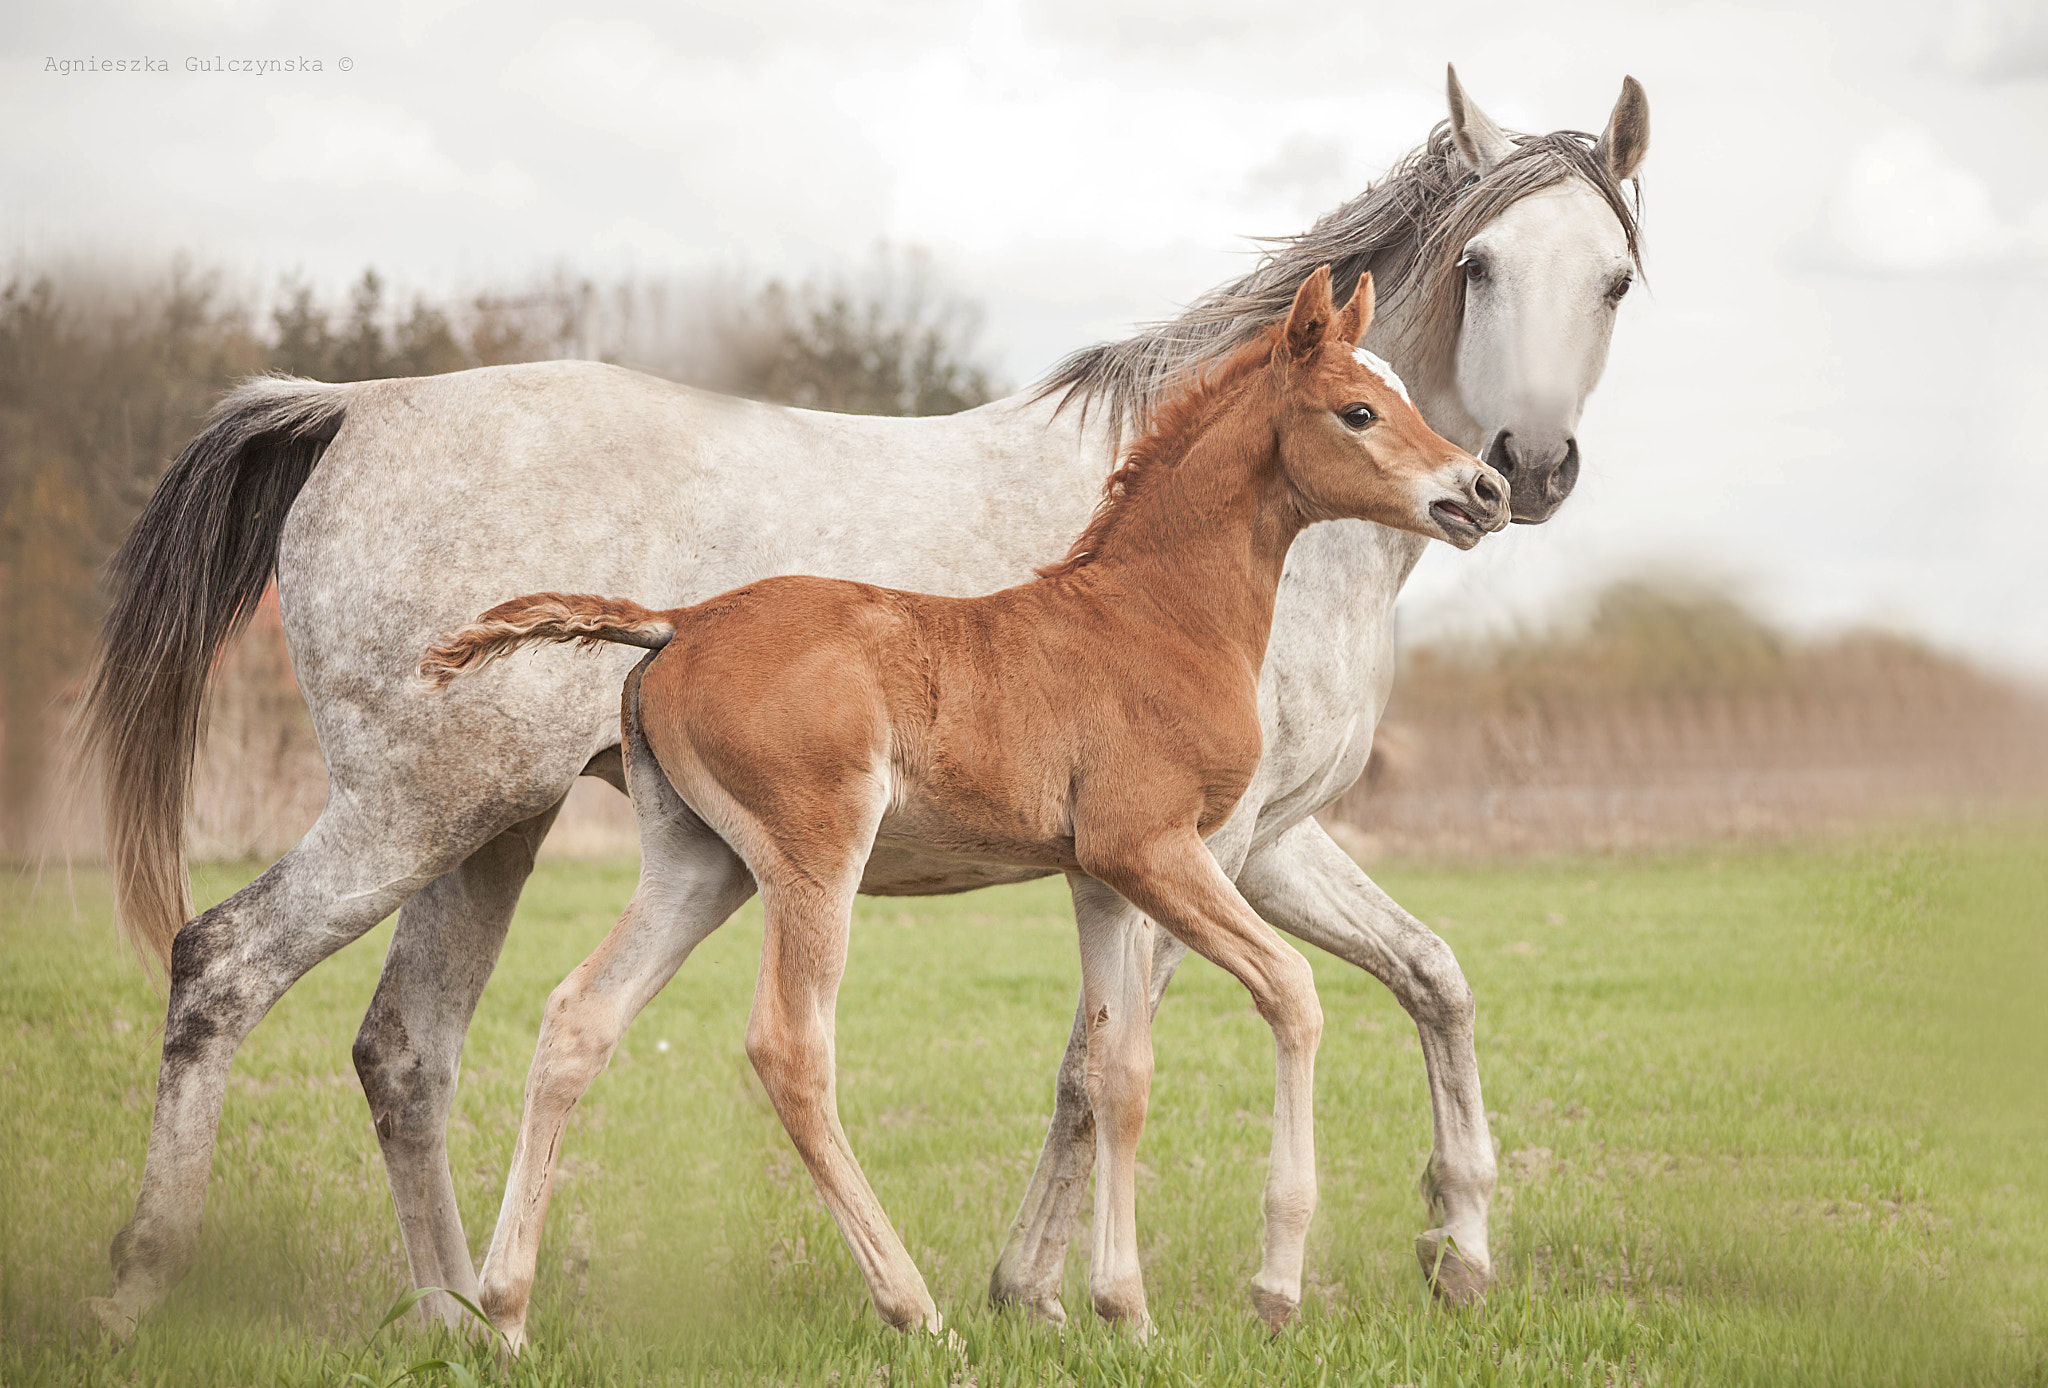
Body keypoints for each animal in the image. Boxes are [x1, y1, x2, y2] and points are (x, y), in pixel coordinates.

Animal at [419, 268, 1507, 1351]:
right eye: (1357, 411)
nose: (1483, 490)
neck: (1155, 615)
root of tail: (678, 621)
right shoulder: (1155, 847)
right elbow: (1290, 991)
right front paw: (1273, 1288)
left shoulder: (1100, 878)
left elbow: (1118, 1067)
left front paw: (1124, 1309)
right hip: (814, 857)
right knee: (790, 1048)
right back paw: (915, 1309)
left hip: (699, 863)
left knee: (579, 1017)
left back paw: (504, 1314)